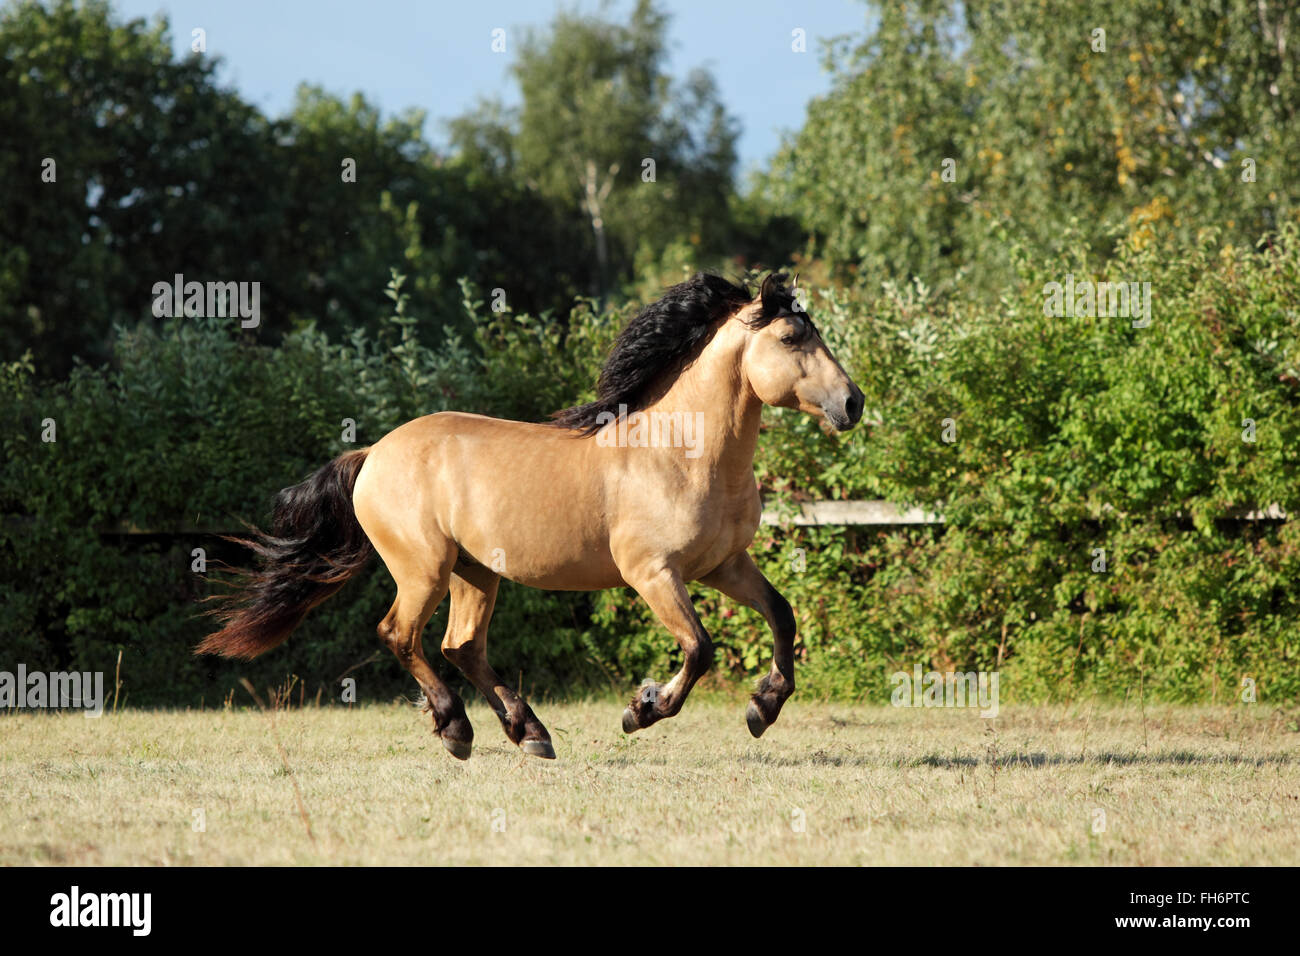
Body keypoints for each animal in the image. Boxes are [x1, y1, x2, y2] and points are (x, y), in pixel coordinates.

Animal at [200, 273, 863, 759]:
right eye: (791, 338)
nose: (852, 403)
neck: (682, 453)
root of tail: (372, 454)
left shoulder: (722, 565)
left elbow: (782, 614)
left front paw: (763, 707)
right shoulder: (652, 573)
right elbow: (700, 648)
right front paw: (642, 710)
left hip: (474, 571)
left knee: (462, 645)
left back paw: (529, 734)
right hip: (424, 568)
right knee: (400, 635)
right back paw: (457, 730)